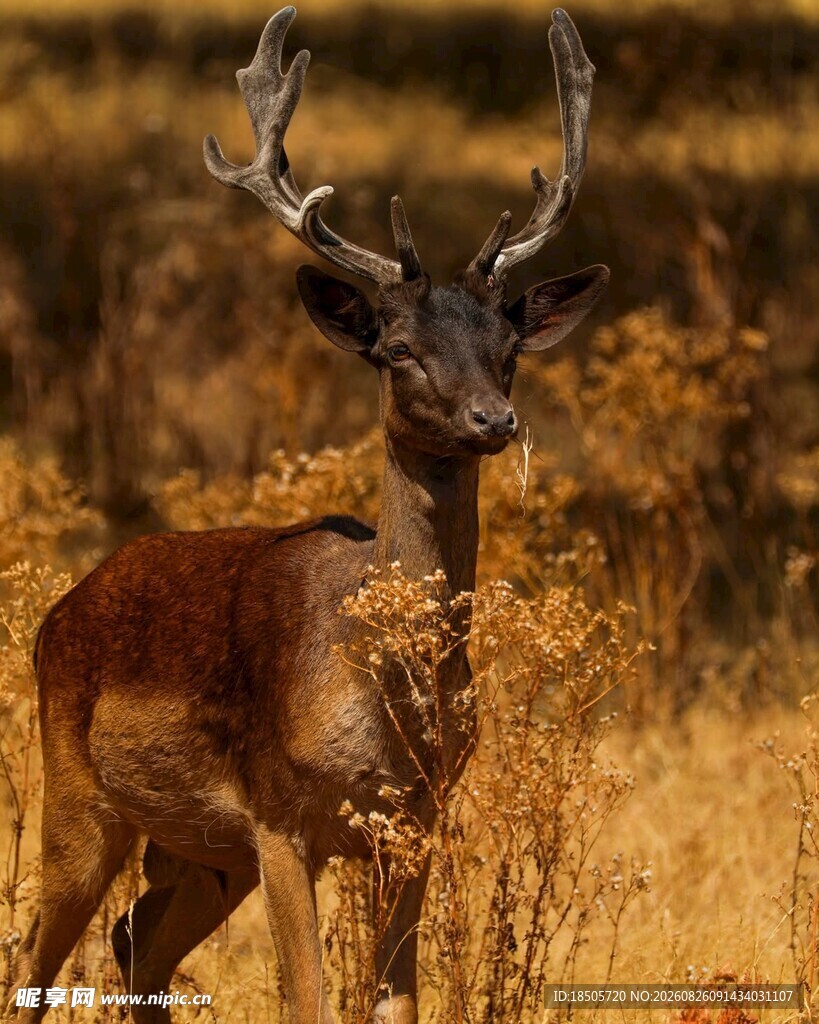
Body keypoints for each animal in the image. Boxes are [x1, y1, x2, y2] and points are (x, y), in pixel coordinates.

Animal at [6, 7, 607, 1024]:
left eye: (509, 346)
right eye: (396, 348)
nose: (493, 419)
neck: (380, 687)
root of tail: (58, 609)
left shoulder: (416, 819)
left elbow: (395, 1001)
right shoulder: (279, 810)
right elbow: (309, 999)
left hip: (203, 858)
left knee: (134, 947)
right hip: (77, 791)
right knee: (35, 961)